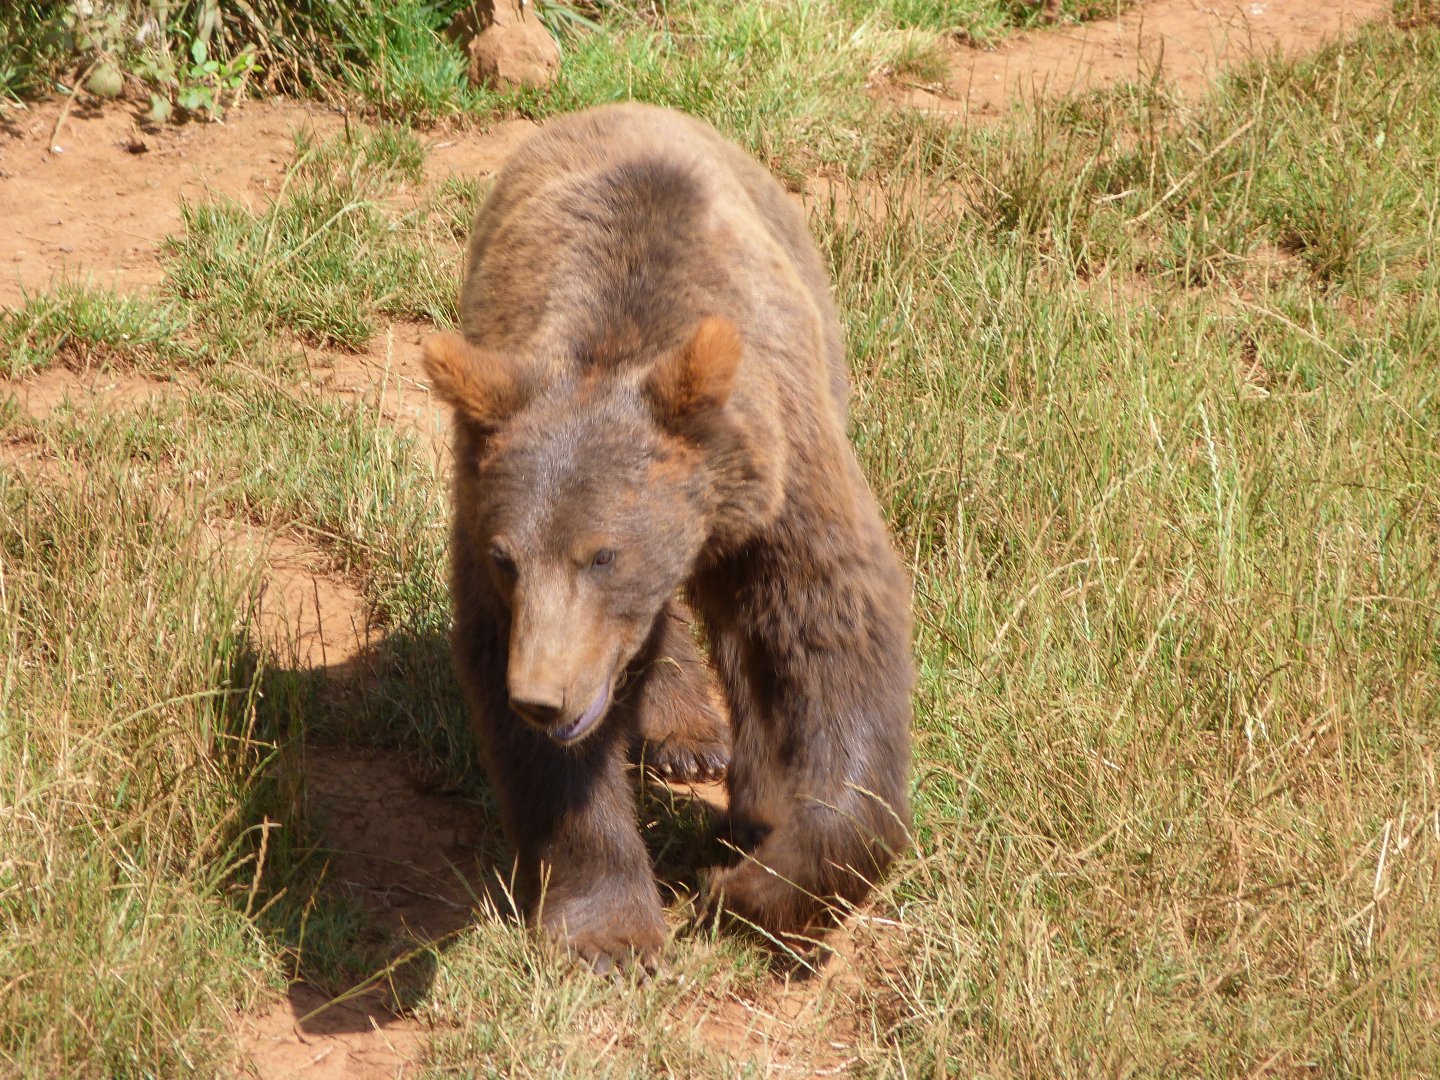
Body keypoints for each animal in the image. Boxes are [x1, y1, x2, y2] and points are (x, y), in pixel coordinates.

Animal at [422, 103, 913, 968]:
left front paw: (755, 886)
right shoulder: (486, 512)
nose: (542, 698)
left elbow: (832, 635)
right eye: (508, 560)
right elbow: (544, 748)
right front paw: (611, 932)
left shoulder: (780, 479)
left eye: (603, 554)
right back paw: (685, 728)